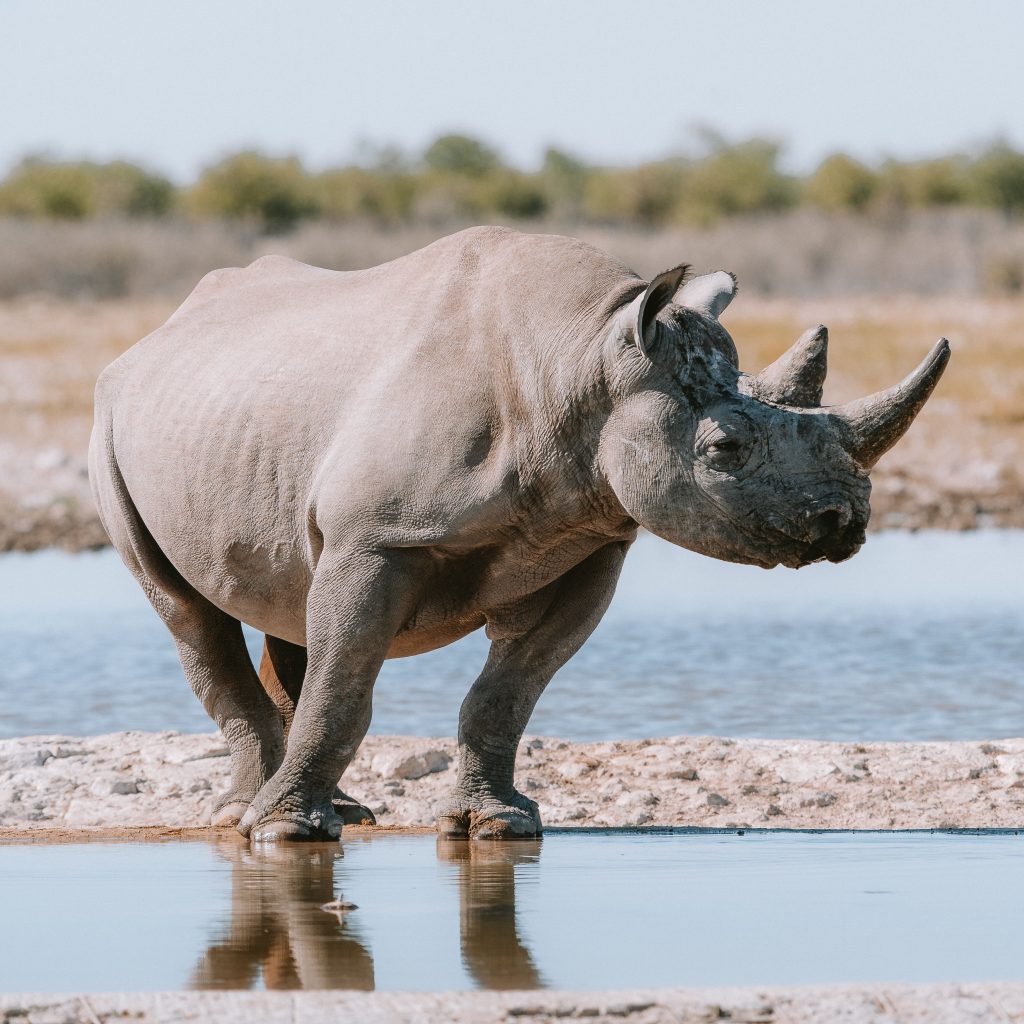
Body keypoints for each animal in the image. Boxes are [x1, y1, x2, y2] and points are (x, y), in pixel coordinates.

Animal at [89, 226, 949, 842]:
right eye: (725, 450)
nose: (841, 523)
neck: (582, 357)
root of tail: (157, 335)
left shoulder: (592, 540)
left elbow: (508, 692)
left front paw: (498, 825)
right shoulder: (379, 536)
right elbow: (346, 685)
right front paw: (284, 836)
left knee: (286, 600)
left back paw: (333, 811)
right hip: (111, 420)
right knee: (188, 612)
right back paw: (246, 818)